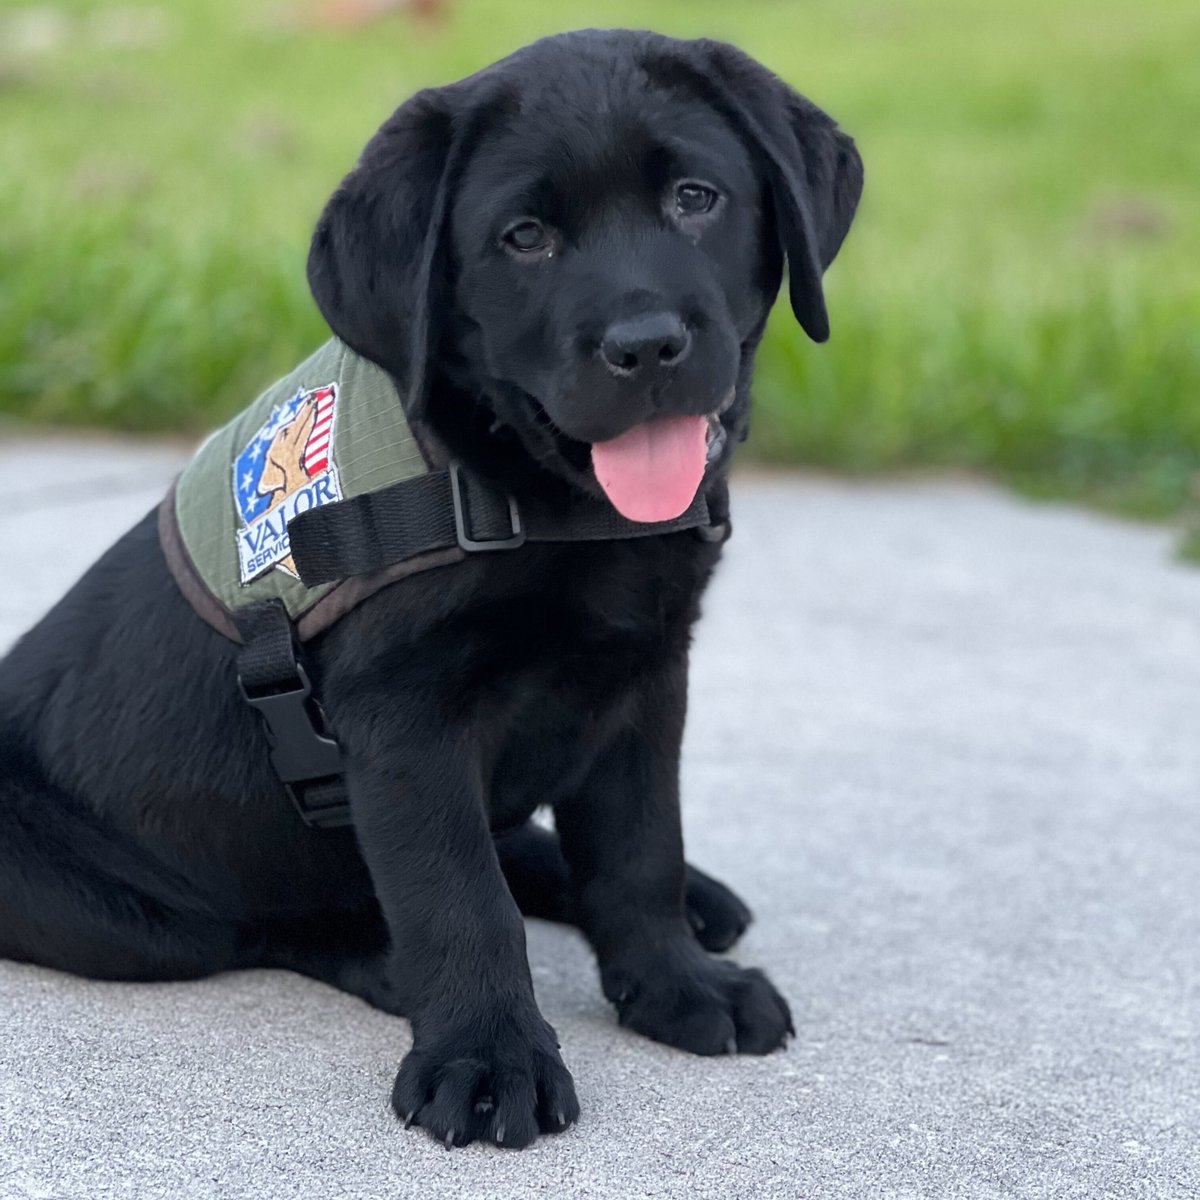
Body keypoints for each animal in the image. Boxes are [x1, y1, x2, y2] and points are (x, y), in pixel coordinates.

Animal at [0, 30, 864, 1152]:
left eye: (696, 198)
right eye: (524, 238)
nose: (644, 345)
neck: (541, 500)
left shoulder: (645, 678)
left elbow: (639, 850)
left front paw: (677, 986)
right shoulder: (405, 721)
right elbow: (457, 895)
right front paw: (489, 1059)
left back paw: (700, 907)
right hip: (111, 911)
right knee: (266, 923)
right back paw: (387, 968)